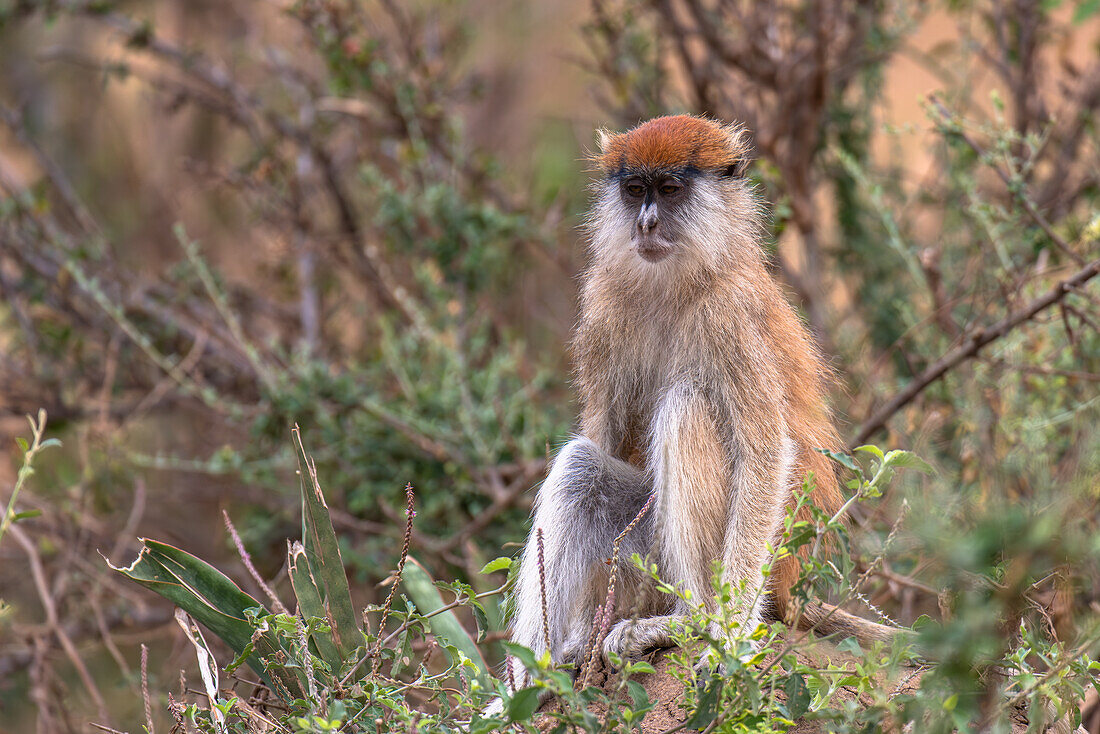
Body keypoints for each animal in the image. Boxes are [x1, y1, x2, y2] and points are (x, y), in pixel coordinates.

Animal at [506, 116, 893, 695]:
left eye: (670, 190)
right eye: (634, 189)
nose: (645, 223)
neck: (678, 278)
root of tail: (789, 586)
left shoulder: (728, 314)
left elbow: (764, 455)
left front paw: (730, 638)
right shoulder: (602, 307)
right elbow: (600, 437)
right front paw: (571, 641)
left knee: (685, 407)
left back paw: (688, 622)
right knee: (580, 470)